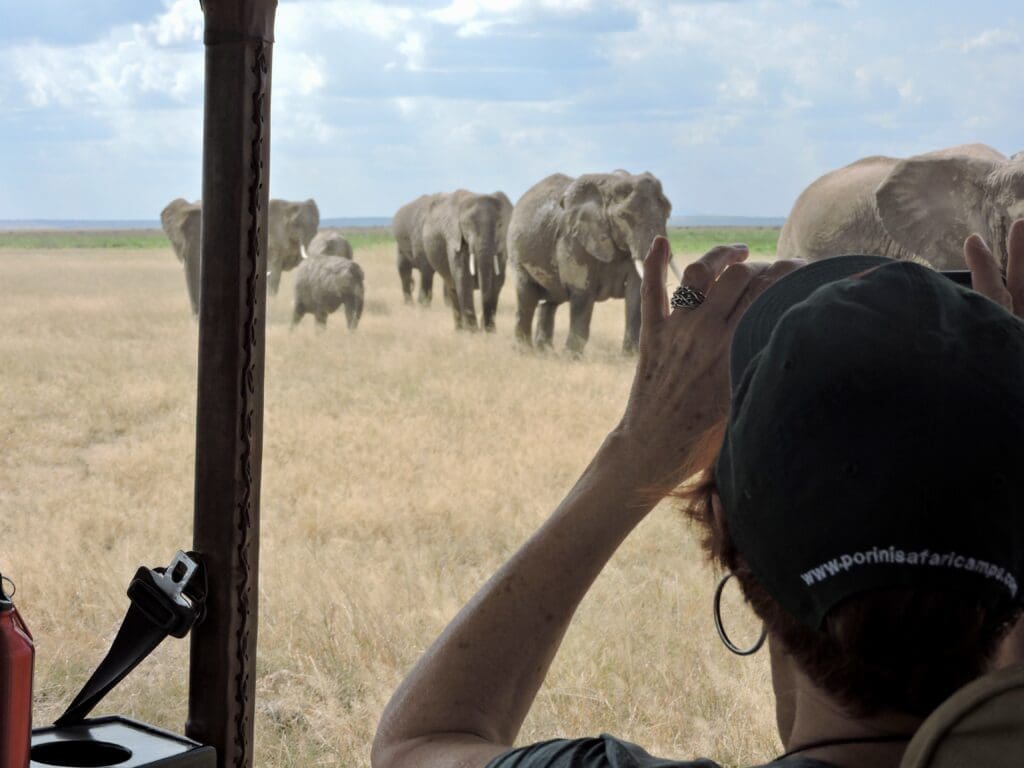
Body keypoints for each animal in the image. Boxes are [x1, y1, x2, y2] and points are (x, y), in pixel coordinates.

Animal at [415, 191, 512, 331]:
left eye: (500, 225)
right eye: (467, 226)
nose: (483, 327)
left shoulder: (501, 245)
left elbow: (498, 282)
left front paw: (490, 332)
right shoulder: (454, 238)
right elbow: (463, 279)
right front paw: (474, 333)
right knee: (453, 289)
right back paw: (461, 331)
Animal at [507, 169, 675, 356]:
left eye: (668, 212)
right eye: (624, 216)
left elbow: (636, 292)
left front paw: (630, 357)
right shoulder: (572, 238)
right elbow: (582, 293)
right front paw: (571, 357)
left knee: (550, 302)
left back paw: (545, 351)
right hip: (516, 253)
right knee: (526, 297)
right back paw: (524, 351)